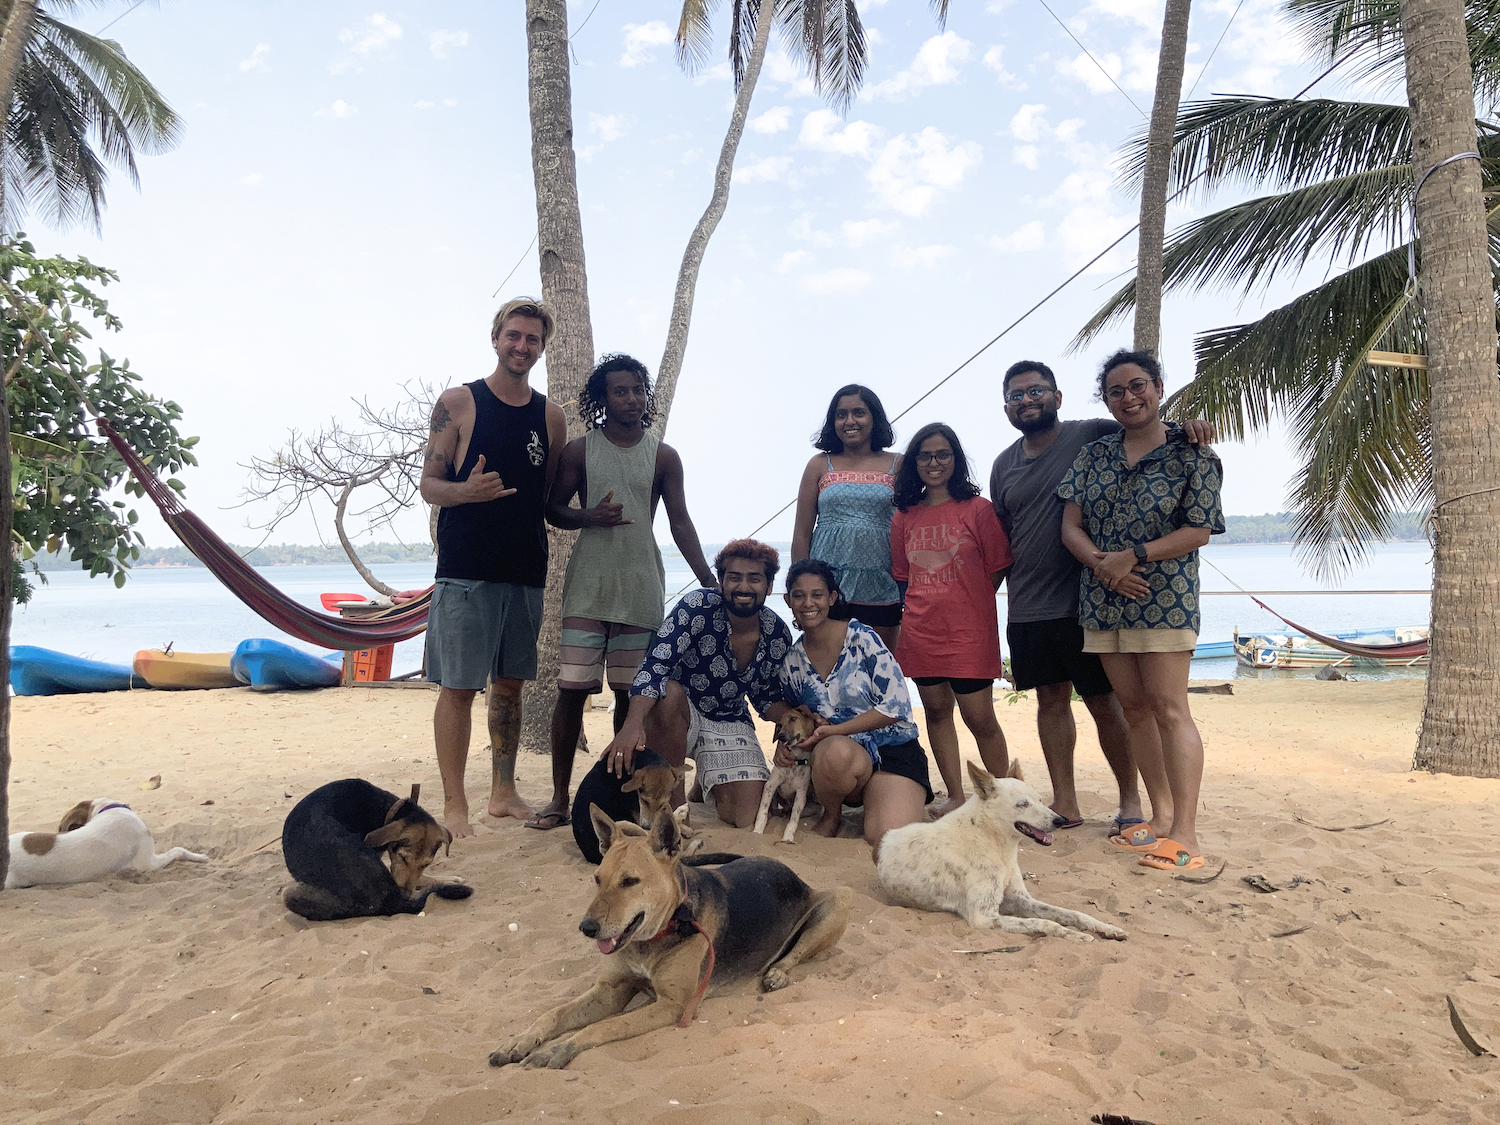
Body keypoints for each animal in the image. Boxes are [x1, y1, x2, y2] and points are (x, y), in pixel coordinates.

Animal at [489, 804, 852, 1068]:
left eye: (630, 881)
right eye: (597, 878)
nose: (586, 928)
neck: (650, 940)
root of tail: (789, 871)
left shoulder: (673, 1005)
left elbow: (604, 1026)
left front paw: (557, 1050)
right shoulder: (611, 991)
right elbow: (554, 1013)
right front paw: (521, 1040)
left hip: (838, 900)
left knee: (797, 951)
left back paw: (778, 973)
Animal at [750, 705, 822, 846]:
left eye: (793, 718)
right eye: (779, 725)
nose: (781, 736)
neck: (794, 760)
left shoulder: (800, 794)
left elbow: (793, 819)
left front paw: (788, 837)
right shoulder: (770, 785)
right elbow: (762, 812)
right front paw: (757, 832)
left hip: (813, 806)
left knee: (790, 812)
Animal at [876, 768, 1128, 942]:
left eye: (1040, 799)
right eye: (1022, 804)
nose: (1061, 820)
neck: (997, 846)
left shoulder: (1019, 899)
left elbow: (1073, 913)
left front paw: (1108, 928)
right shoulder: (984, 916)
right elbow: (1046, 923)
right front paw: (1074, 935)